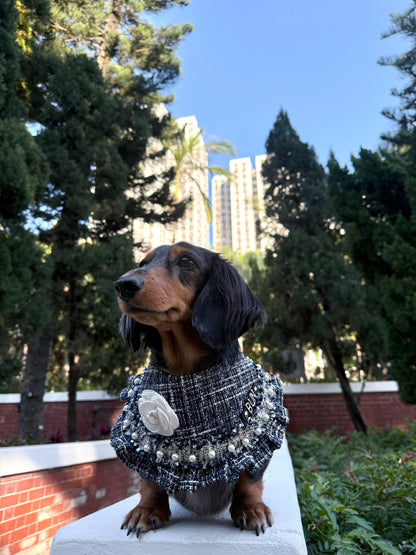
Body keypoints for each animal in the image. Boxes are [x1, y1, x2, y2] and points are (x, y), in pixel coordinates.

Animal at [111, 243, 290, 540]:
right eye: (143, 262)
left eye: (186, 261)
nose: (124, 285)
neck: (185, 372)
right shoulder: (138, 439)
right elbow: (149, 478)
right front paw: (147, 510)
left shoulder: (261, 430)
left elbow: (249, 477)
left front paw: (251, 509)